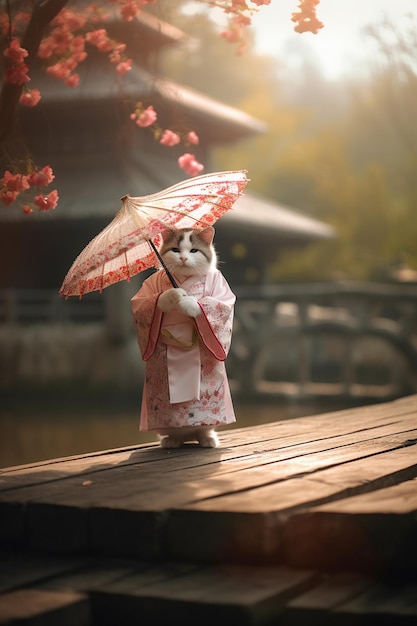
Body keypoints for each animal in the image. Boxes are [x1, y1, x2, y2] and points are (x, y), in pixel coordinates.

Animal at [131, 225, 234, 448]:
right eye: (176, 250)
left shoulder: (221, 291)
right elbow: (144, 303)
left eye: (193, 250)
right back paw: (172, 441)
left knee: (205, 428)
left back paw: (206, 439)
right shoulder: (144, 297)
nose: (184, 258)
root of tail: (188, 435)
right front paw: (173, 296)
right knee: (173, 434)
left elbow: (218, 302)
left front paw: (187, 303)